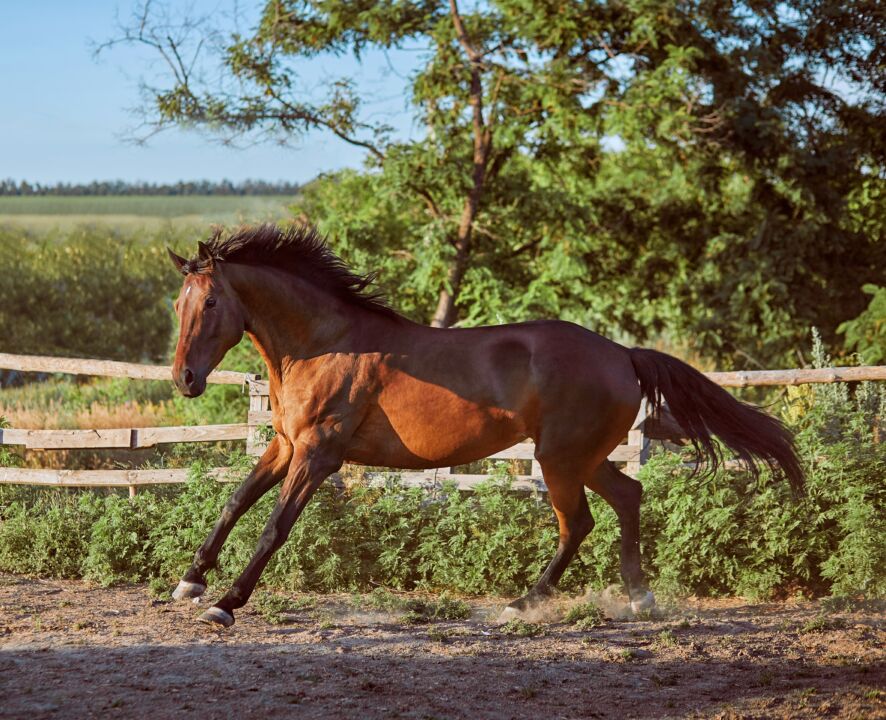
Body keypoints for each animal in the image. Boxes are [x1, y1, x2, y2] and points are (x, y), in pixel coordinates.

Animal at [166, 224, 803, 627]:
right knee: (628, 495)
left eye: (212, 303)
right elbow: (234, 503)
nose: (185, 379)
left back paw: (523, 604)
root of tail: (623, 354)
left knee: (580, 522)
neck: (324, 345)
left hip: (560, 460)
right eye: (179, 304)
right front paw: (190, 582)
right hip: (584, 458)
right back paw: (638, 596)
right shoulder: (283, 447)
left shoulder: (318, 456)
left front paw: (226, 604)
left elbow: (274, 526)